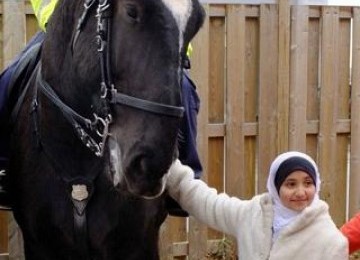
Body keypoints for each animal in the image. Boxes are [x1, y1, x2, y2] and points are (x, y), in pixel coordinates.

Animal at [8, 0, 204, 258]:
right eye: (131, 10)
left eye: (197, 23)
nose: (149, 165)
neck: (76, 164)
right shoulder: (39, 245)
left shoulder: (139, 244)